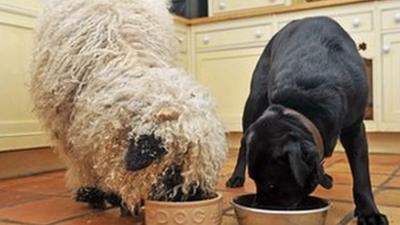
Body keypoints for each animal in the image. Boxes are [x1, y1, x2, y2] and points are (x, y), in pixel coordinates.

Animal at [227, 16, 390, 224]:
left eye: (271, 186)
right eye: (254, 180)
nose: (258, 207)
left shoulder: (355, 128)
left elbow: (361, 176)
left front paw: (369, 212)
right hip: (254, 100)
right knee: (242, 146)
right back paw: (236, 177)